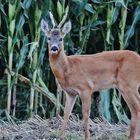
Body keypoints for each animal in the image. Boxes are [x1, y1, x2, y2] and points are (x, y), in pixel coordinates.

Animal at [41, 12, 140, 140]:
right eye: (48, 38)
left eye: (61, 38)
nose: (54, 48)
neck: (67, 68)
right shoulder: (71, 93)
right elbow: (66, 114)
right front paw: (61, 137)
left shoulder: (86, 88)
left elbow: (85, 114)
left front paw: (87, 137)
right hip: (125, 87)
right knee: (135, 109)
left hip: (129, 84)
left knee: (136, 109)